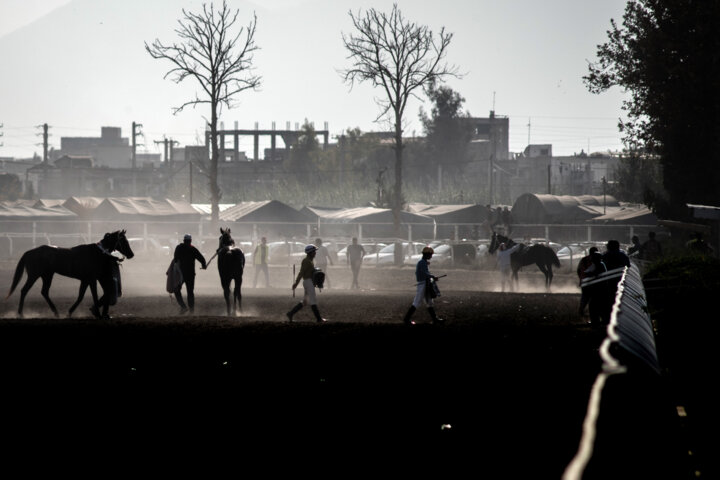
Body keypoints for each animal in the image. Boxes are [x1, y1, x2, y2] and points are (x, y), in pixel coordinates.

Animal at [6, 230, 135, 318]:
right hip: (34, 275)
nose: (131, 254)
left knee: (44, 292)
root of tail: (29, 252)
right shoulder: (92, 279)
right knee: (24, 290)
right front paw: (98, 314)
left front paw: (69, 312)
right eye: (123, 240)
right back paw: (21, 314)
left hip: (47, 275)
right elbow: (94, 295)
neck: (97, 253)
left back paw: (56, 312)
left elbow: (80, 296)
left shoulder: (85, 280)